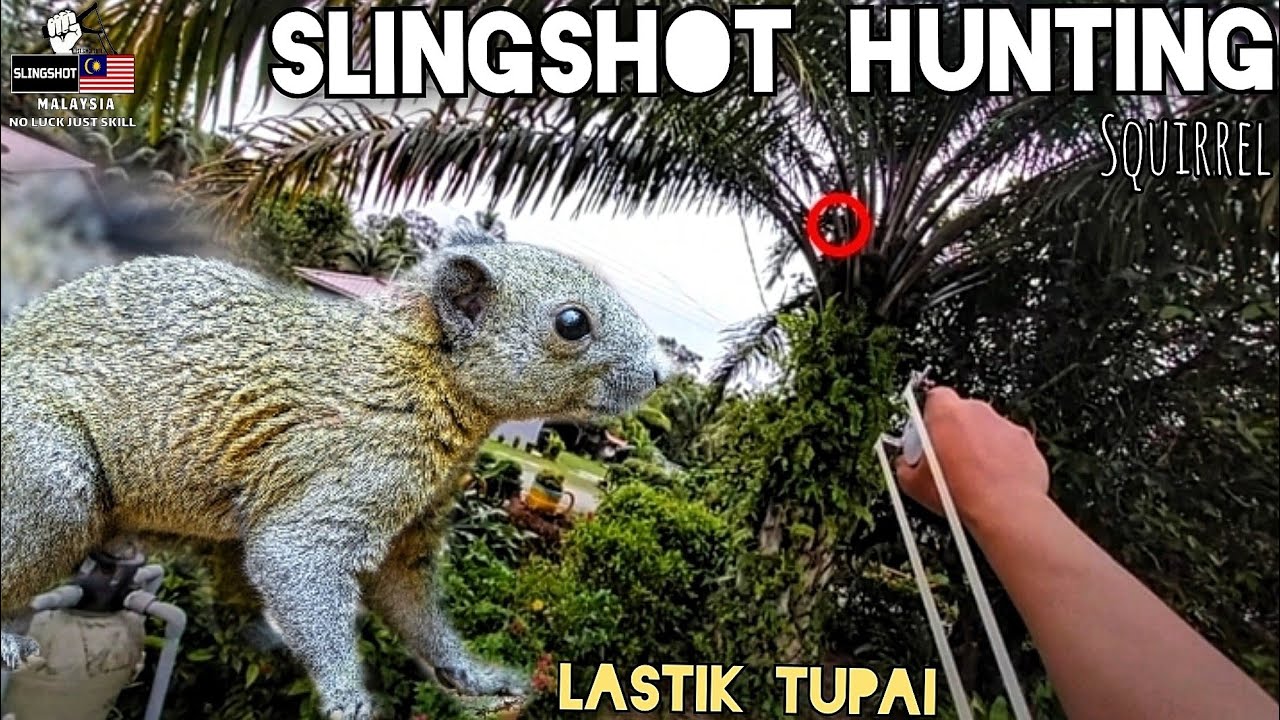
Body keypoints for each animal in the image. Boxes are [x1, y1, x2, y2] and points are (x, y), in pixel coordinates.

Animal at [1, 196, 669, 718]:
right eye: (572, 322)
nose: (662, 373)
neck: (424, 373)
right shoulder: (360, 461)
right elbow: (294, 556)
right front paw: (349, 699)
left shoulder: (414, 520)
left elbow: (412, 605)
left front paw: (472, 674)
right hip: (46, 478)